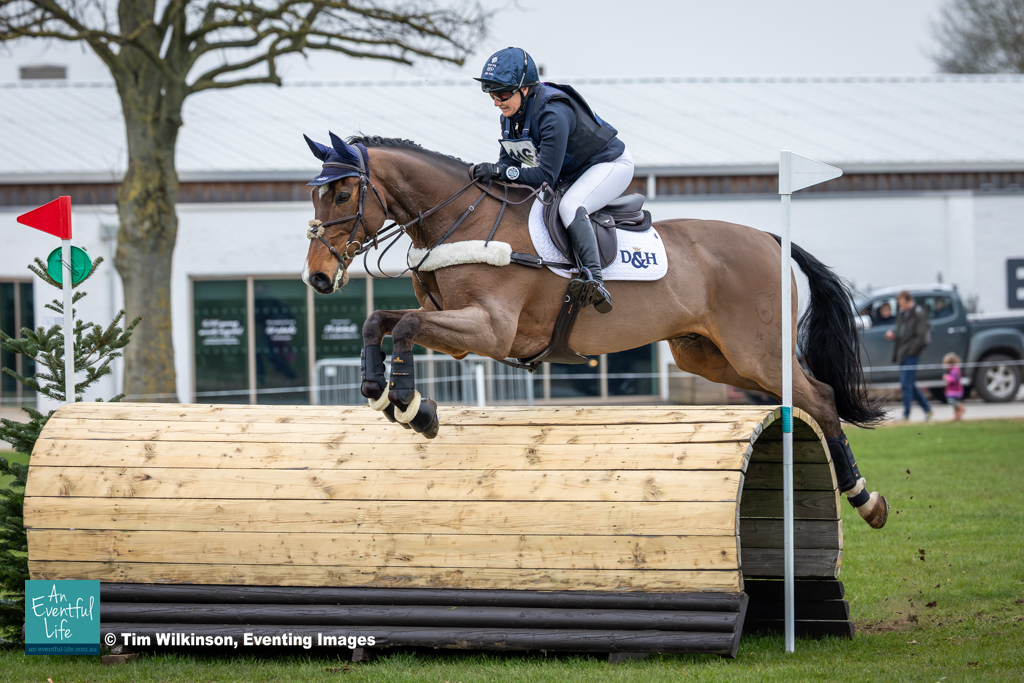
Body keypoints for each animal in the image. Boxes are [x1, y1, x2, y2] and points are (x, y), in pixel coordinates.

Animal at [301, 133, 889, 529]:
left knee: (821, 396)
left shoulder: (490, 330)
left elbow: (405, 327)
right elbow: (381, 321)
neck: (462, 221)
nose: (318, 277)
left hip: (757, 352)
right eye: (314, 196)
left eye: (344, 195)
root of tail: (771, 238)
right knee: (799, 397)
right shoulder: (461, 334)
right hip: (709, 356)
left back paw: (867, 501)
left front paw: (412, 407)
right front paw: (380, 391)